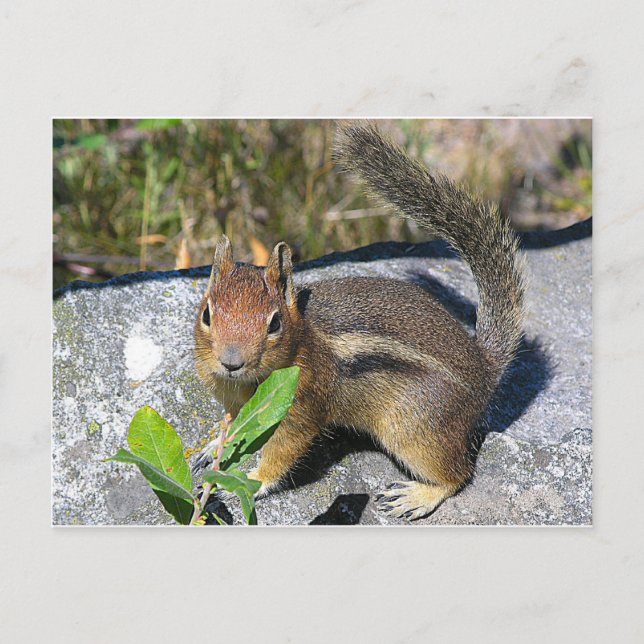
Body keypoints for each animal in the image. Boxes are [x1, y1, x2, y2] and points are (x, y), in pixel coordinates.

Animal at [194, 122, 525, 520]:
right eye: (207, 314)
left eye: (274, 324)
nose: (231, 362)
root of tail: (484, 367)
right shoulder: (236, 405)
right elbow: (232, 427)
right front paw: (212, 446)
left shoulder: (303, 407)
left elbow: (283, 451)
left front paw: (252, 480)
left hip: (414, 428)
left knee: (457, 475)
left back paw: (417, 496)